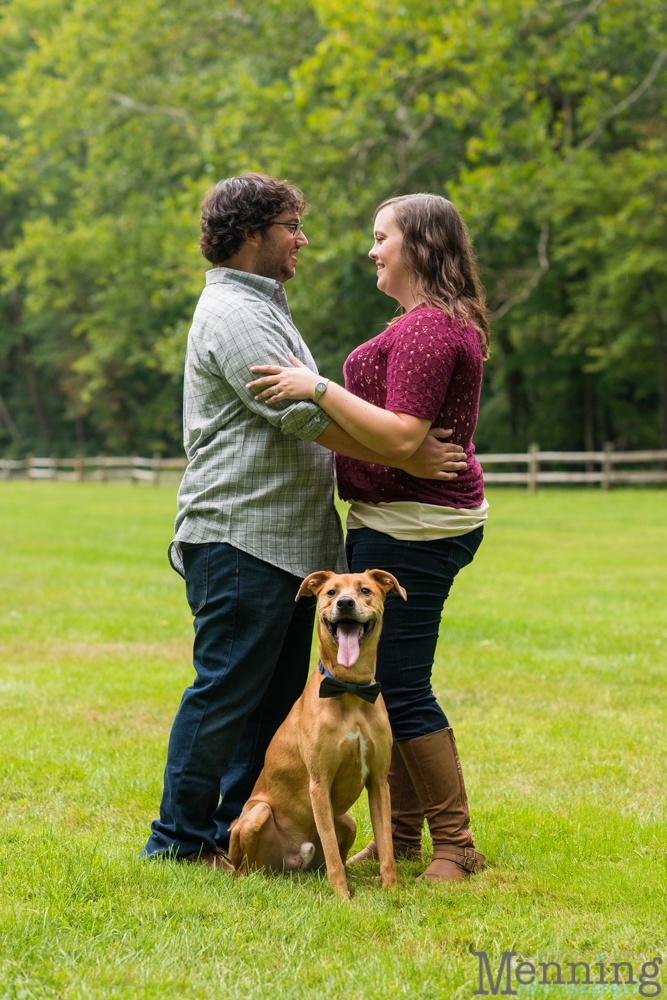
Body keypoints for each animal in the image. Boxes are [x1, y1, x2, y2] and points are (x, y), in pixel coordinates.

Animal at [230, 572, 408, 900]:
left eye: (365, 590)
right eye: (331, 592)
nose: (345, 603)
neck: (350, 689)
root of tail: (291, 865)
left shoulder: (379, 782)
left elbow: (386, 848)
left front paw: (391, 890)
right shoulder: (319, 782)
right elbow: (332, 850)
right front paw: (343, 898)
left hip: (347, 821)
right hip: (256, 815)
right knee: (246, 868)